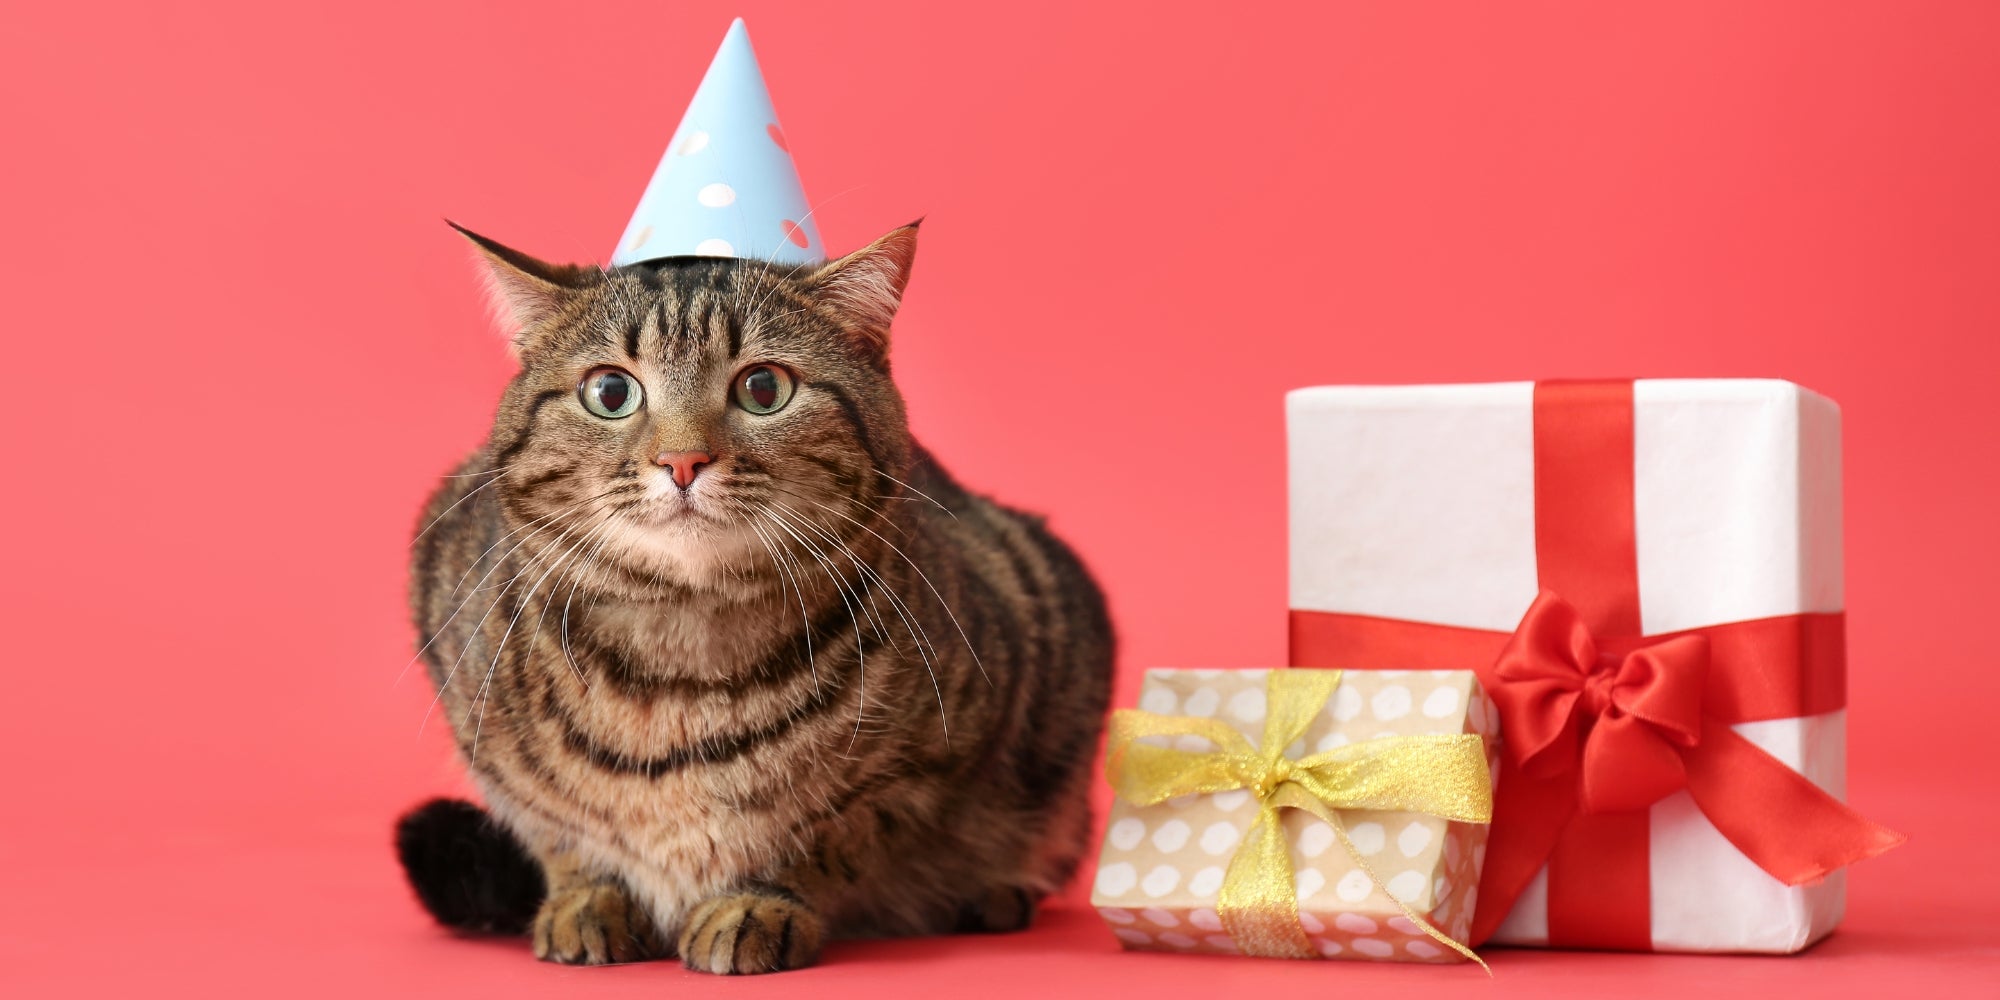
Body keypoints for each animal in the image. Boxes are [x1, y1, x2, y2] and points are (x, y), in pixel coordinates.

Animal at [390, 221, 1112, 976]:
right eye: (610, 392)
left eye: (764, 388)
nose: (682, 460)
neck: (680, 657)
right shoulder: (472, 701)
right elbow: (557, 828)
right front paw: (587, 896)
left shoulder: (925, 765)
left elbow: (829, 833)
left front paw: (757, 901)